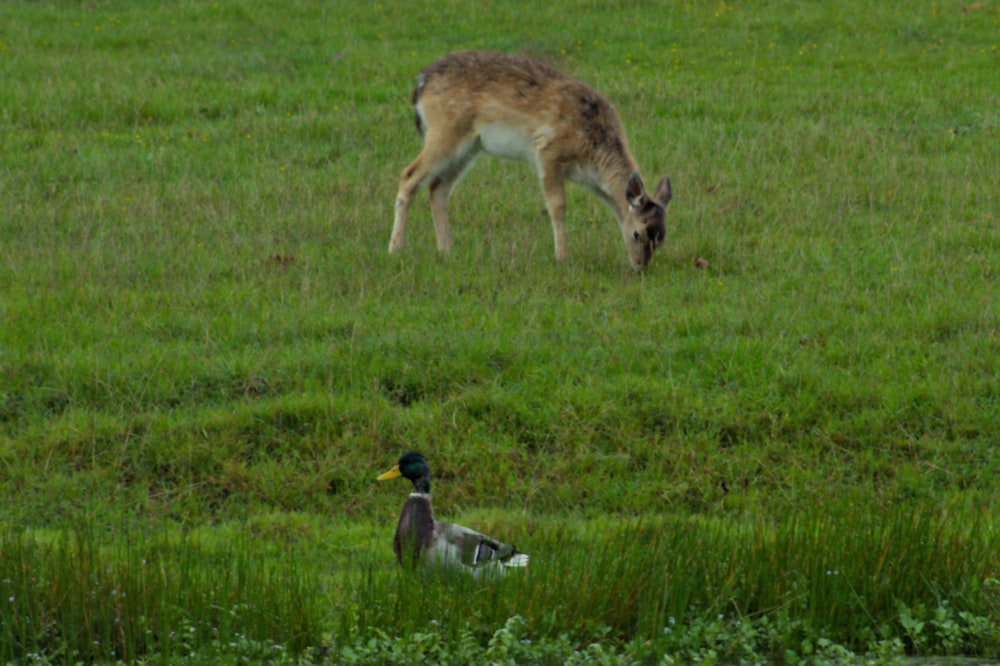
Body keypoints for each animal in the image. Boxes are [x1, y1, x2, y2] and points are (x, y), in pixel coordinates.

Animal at [386, 50, 676, 272]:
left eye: (661, 238)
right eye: (637, 232)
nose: (640, 267)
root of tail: (421, 82)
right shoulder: (548, 152)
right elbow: (558, 205)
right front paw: (562, 258)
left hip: (469, 147)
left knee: (438, 187)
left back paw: (446, 249)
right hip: (445, 131)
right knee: (409, 175)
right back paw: (395, 249)